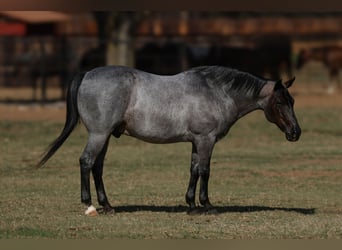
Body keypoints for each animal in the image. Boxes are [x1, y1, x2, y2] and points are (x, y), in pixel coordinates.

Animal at [36, 65, 300, 216]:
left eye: (293, 101)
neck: (216, 92)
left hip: (104, 137)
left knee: (97, 167)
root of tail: (87, 73)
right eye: (280, 102)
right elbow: (205, 171)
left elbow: (193, 170)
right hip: (99, 135)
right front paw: (206, 205)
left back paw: (108, 206)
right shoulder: (207, 140)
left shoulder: (197, 141)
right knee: (86, 162)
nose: (296, 132)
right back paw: (89, 206)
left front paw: (191, 205)